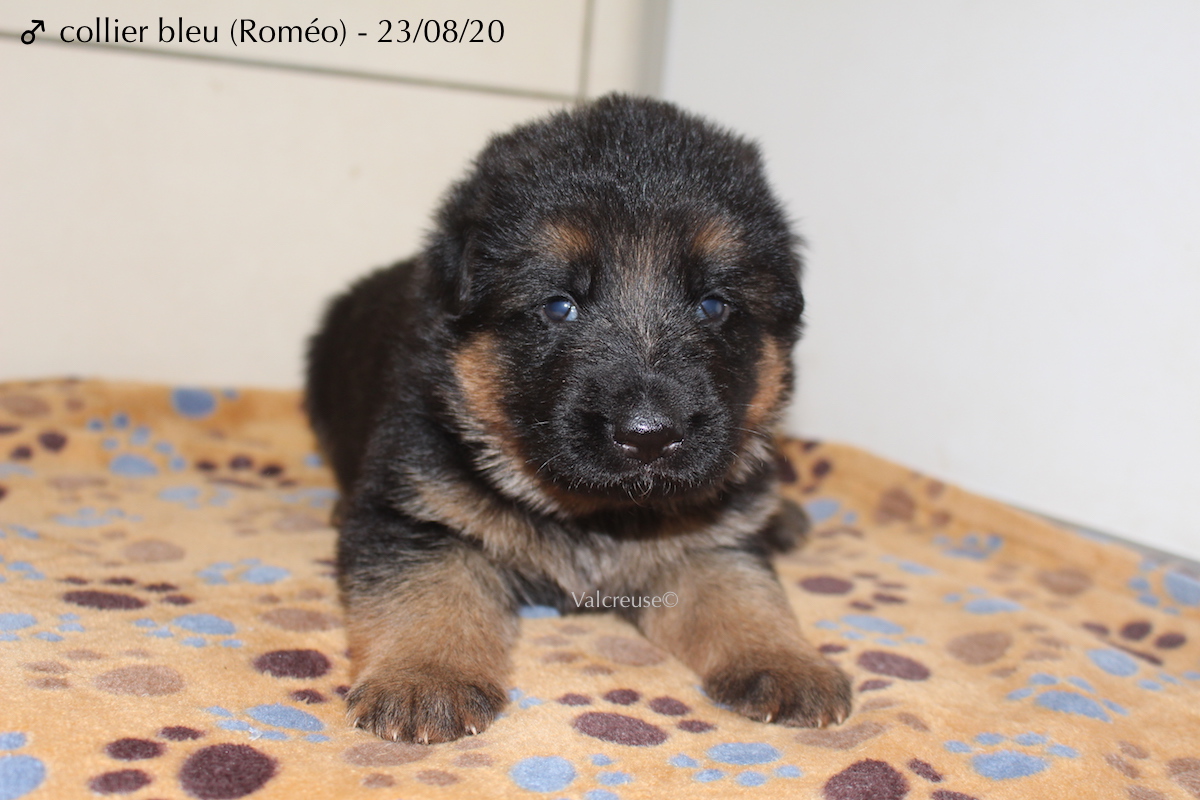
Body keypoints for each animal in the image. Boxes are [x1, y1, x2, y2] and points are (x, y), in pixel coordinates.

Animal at [305, 95, 852, 743]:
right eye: (559, 306)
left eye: (714, 305)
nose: (649, 436)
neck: (597, 513)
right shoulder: (414, 507)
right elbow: (426, 591)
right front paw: (423, 677)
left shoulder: (712, 538)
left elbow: (745, 592)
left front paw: (787, 659)